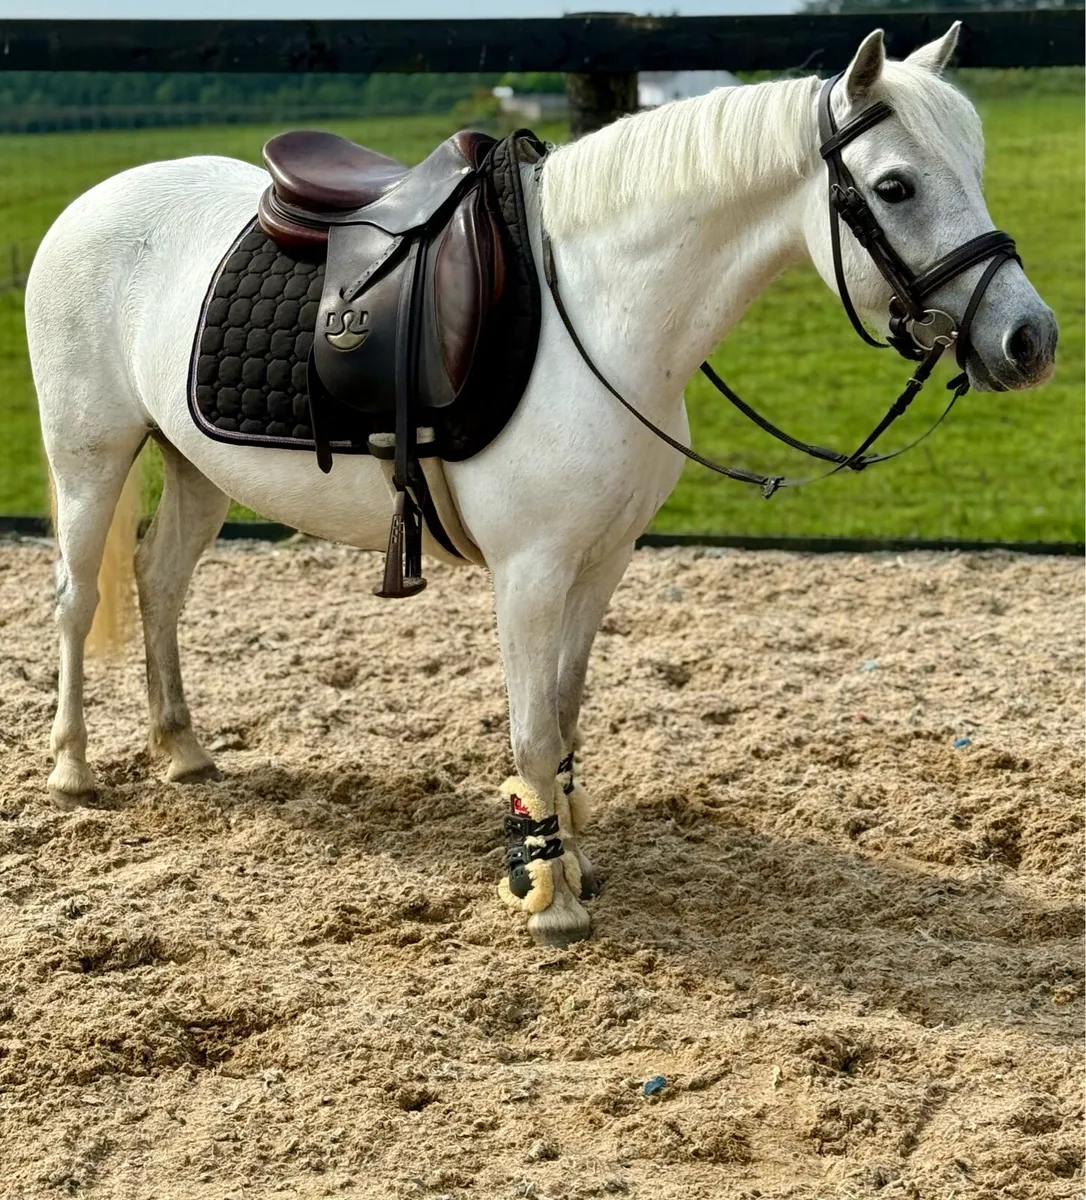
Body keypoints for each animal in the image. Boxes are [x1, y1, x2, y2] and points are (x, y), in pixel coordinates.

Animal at [25, 26, 1057, 945]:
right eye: (894, 186)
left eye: (973, 166)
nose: (1029, 339)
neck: (593, 310)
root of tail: (90, 204)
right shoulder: (530, 573)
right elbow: (528, 728)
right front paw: (547, 897)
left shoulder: (600, 564)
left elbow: (563, 715)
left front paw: (569, 858)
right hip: (90, 456)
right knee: (77, 599)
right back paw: (73, 769)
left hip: (195, 466)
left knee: (158, 585)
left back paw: (183, 750)